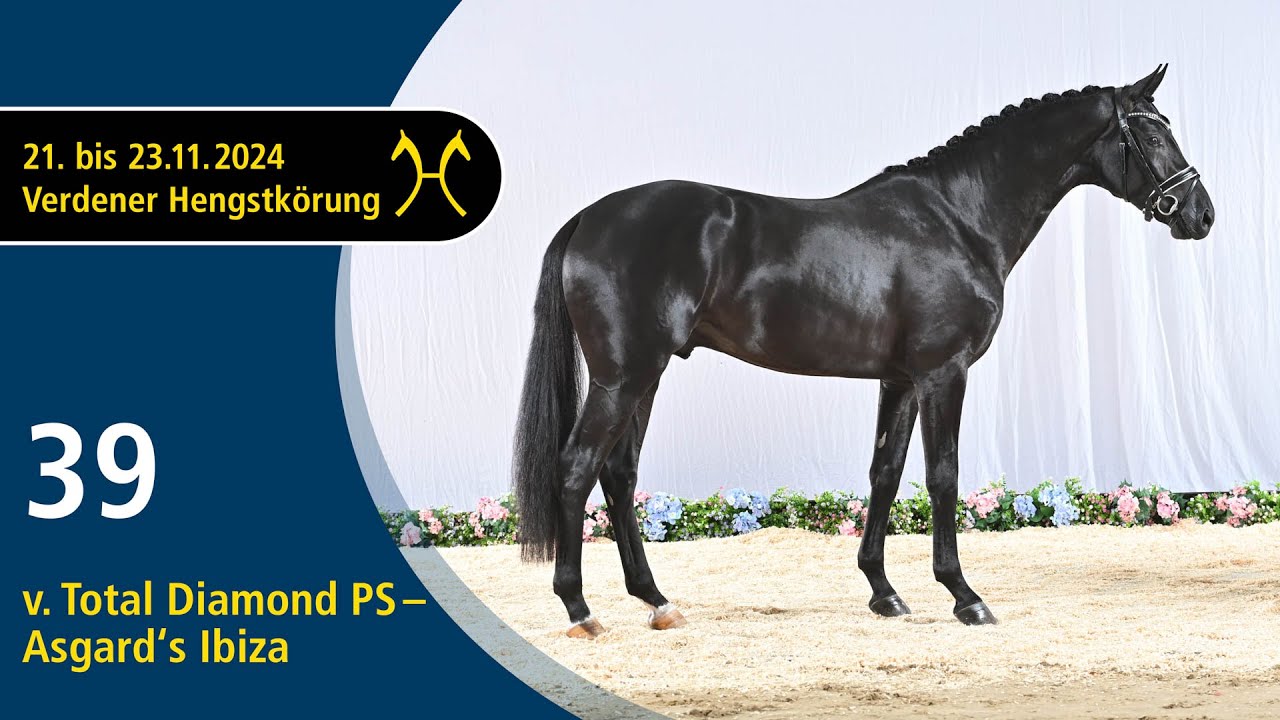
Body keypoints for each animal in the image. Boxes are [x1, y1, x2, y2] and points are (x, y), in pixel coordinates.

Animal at [512, 65, 1214, 638]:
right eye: (1153, 135)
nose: (1200, 215)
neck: (959, 219)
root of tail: (588, 218)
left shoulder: (899, 380)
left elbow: (885, 473)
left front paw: (884, 592)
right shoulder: (943, 373)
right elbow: (941, 474)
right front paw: (964, 595)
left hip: (645, 375)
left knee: (618, 473)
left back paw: (657, 601)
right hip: (623, 376)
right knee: (577, 468)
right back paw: (580, 610)